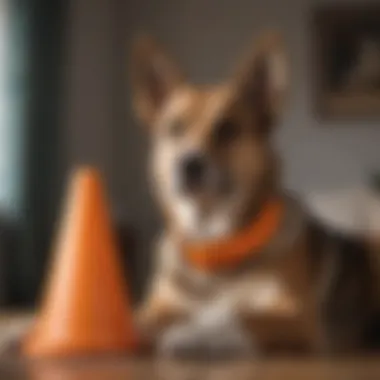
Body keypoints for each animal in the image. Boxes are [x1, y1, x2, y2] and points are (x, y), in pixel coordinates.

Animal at [130, 31, 380, 358]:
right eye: (174, 128)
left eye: (227, 128)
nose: (189, 164)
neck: (216, 245)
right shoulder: (160, 305)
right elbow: (144, 316)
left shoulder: (297, 318)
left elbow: (235, 315)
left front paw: (190, 335)